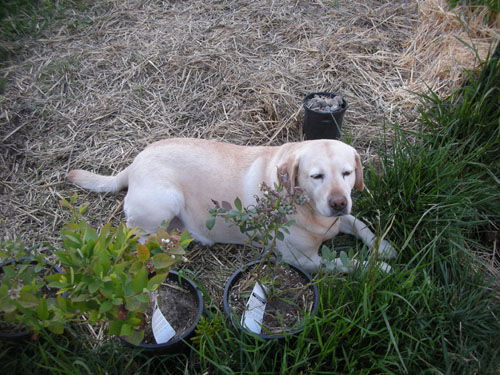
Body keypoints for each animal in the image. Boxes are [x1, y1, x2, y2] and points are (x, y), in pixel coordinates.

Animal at [66, 138, 396, 274]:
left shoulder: (342, 219)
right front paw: (377, 266)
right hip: (165, 199)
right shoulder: (304, 261)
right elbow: (343, 262)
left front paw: (385, 246)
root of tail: (133, 163)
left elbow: (360, 224)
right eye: (316, 176)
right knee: (137, 236)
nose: (338, 202)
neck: (310, 211)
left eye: (347, 173)